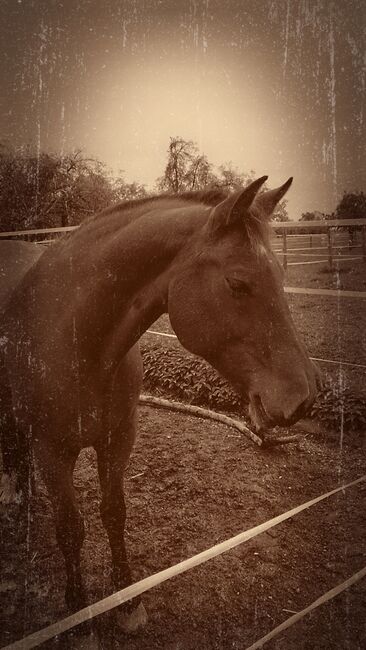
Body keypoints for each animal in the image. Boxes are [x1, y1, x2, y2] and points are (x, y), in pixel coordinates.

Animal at [0, 177, 318, 632]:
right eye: (238, 284)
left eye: (280, 276)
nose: (303, 397)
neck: (76, 340)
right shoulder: (52, 453)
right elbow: (71, 529)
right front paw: (78, 611)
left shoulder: (117, 441)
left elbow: (114, 513)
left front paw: (126, 601)